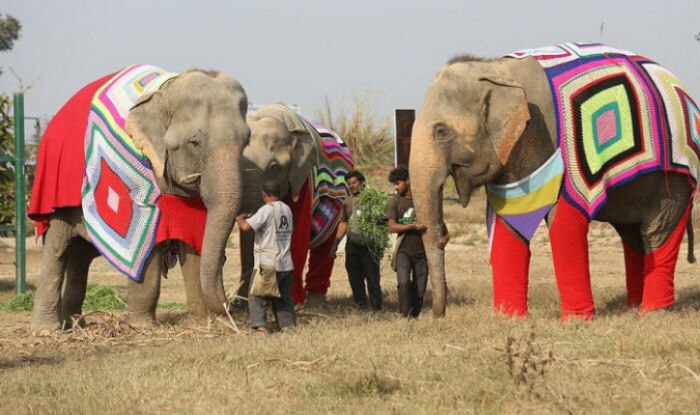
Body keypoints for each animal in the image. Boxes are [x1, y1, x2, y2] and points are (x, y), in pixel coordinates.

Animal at [28, 65, 250, 331]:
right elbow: (146, 239)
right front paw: (142, 327)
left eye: (246, 141)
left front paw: (200, 325)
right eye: (194, 142)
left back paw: (74, 325)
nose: (234, 308)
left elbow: (194, 238)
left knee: (81, 258)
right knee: (58, 249)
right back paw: (47, 330)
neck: (166, 91)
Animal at [238, 104, 353, 305]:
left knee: (326, 244)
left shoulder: (303, 180)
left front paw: (292, 299)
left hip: (338, 201)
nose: (238, 302)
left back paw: (314, 303)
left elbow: (298, 229)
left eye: (275, 167)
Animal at [409, 43, 699, 319]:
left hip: (676, 178)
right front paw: (508, 319)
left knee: (657, 230)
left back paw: (652, 312)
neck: (497, 68)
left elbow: (564, 218)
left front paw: (575, 321)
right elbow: (504, 221)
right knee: (632, 235)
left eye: (441, 132)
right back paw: (632, 308)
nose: (438, 316)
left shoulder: (563, 149)